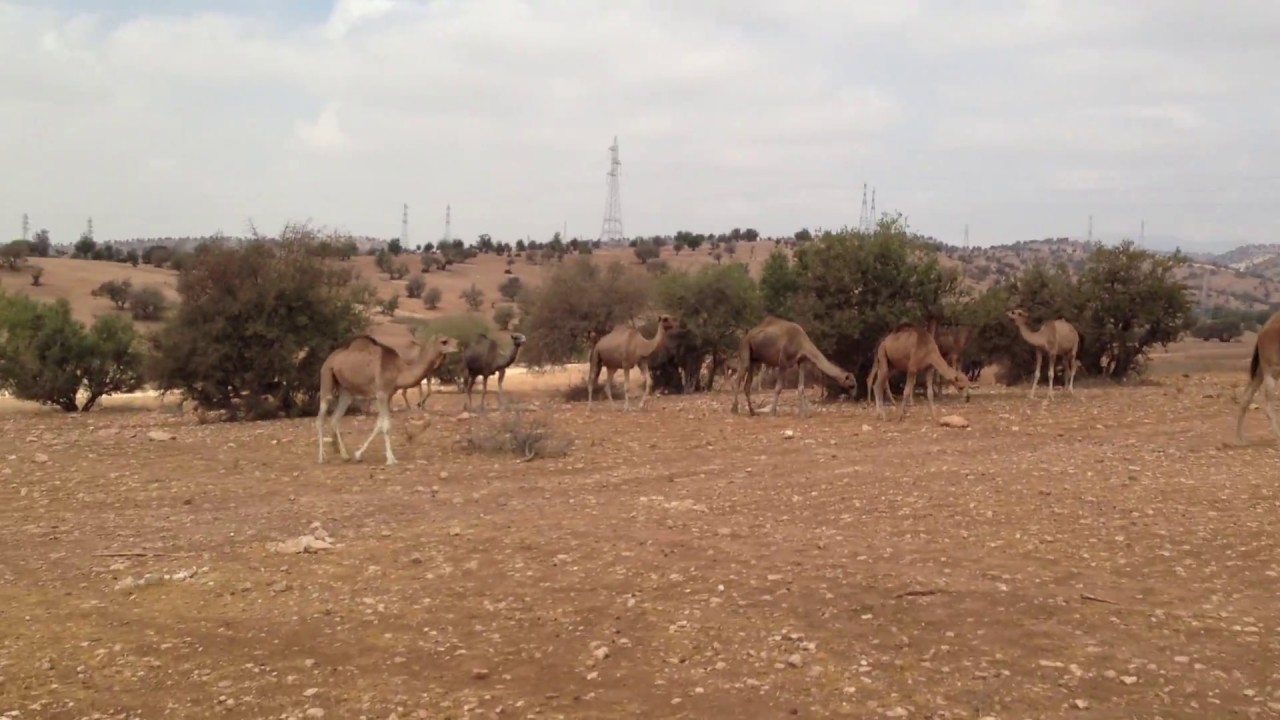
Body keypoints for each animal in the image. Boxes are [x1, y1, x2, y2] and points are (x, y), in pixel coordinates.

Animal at [316, 333, 459, 465]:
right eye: (444, 341)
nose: (457, 345)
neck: (398, 371)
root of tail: (331, 358)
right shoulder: (381, 394)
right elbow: (386, 425)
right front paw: (391, 460)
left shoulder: (389, 395)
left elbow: (379, 424)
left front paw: (358, 454)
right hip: (327, 376)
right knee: (321, 417)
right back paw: (321, 457)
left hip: (346, 391)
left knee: (335, 418)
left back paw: (345, 456)